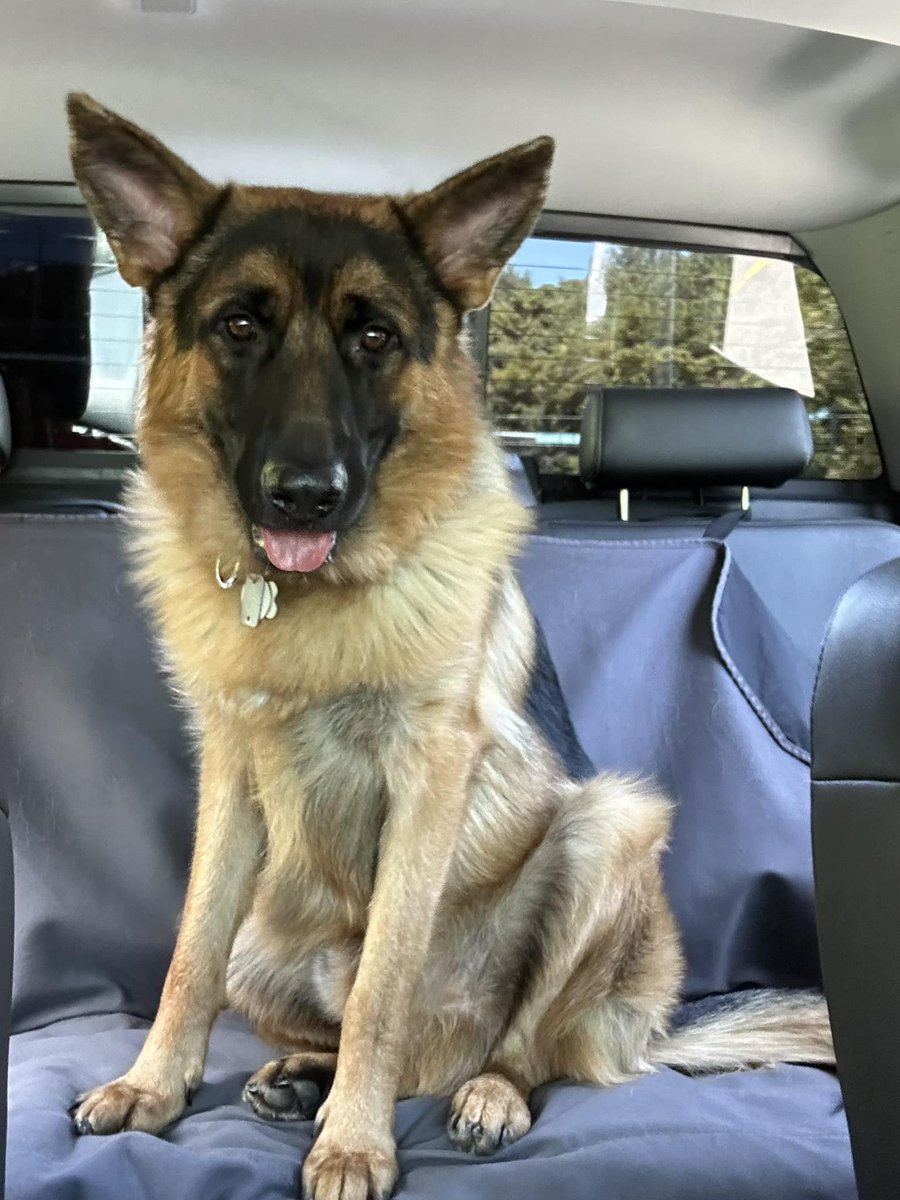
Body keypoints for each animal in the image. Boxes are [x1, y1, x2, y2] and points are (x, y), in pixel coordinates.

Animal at [66, 96, 835, 1200]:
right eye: (240, 325)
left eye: (375, 337)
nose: (306, 496)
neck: (311, 604)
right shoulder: (231, 780)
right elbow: (187, 955)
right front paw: (154, 1086)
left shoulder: (429, 781)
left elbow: (384, 985)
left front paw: (355, 1142)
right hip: (272, 934)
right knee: (347, 1023)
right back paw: (305, 1072)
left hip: (610, 826)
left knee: (517, 1044)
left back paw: (480, 1094)